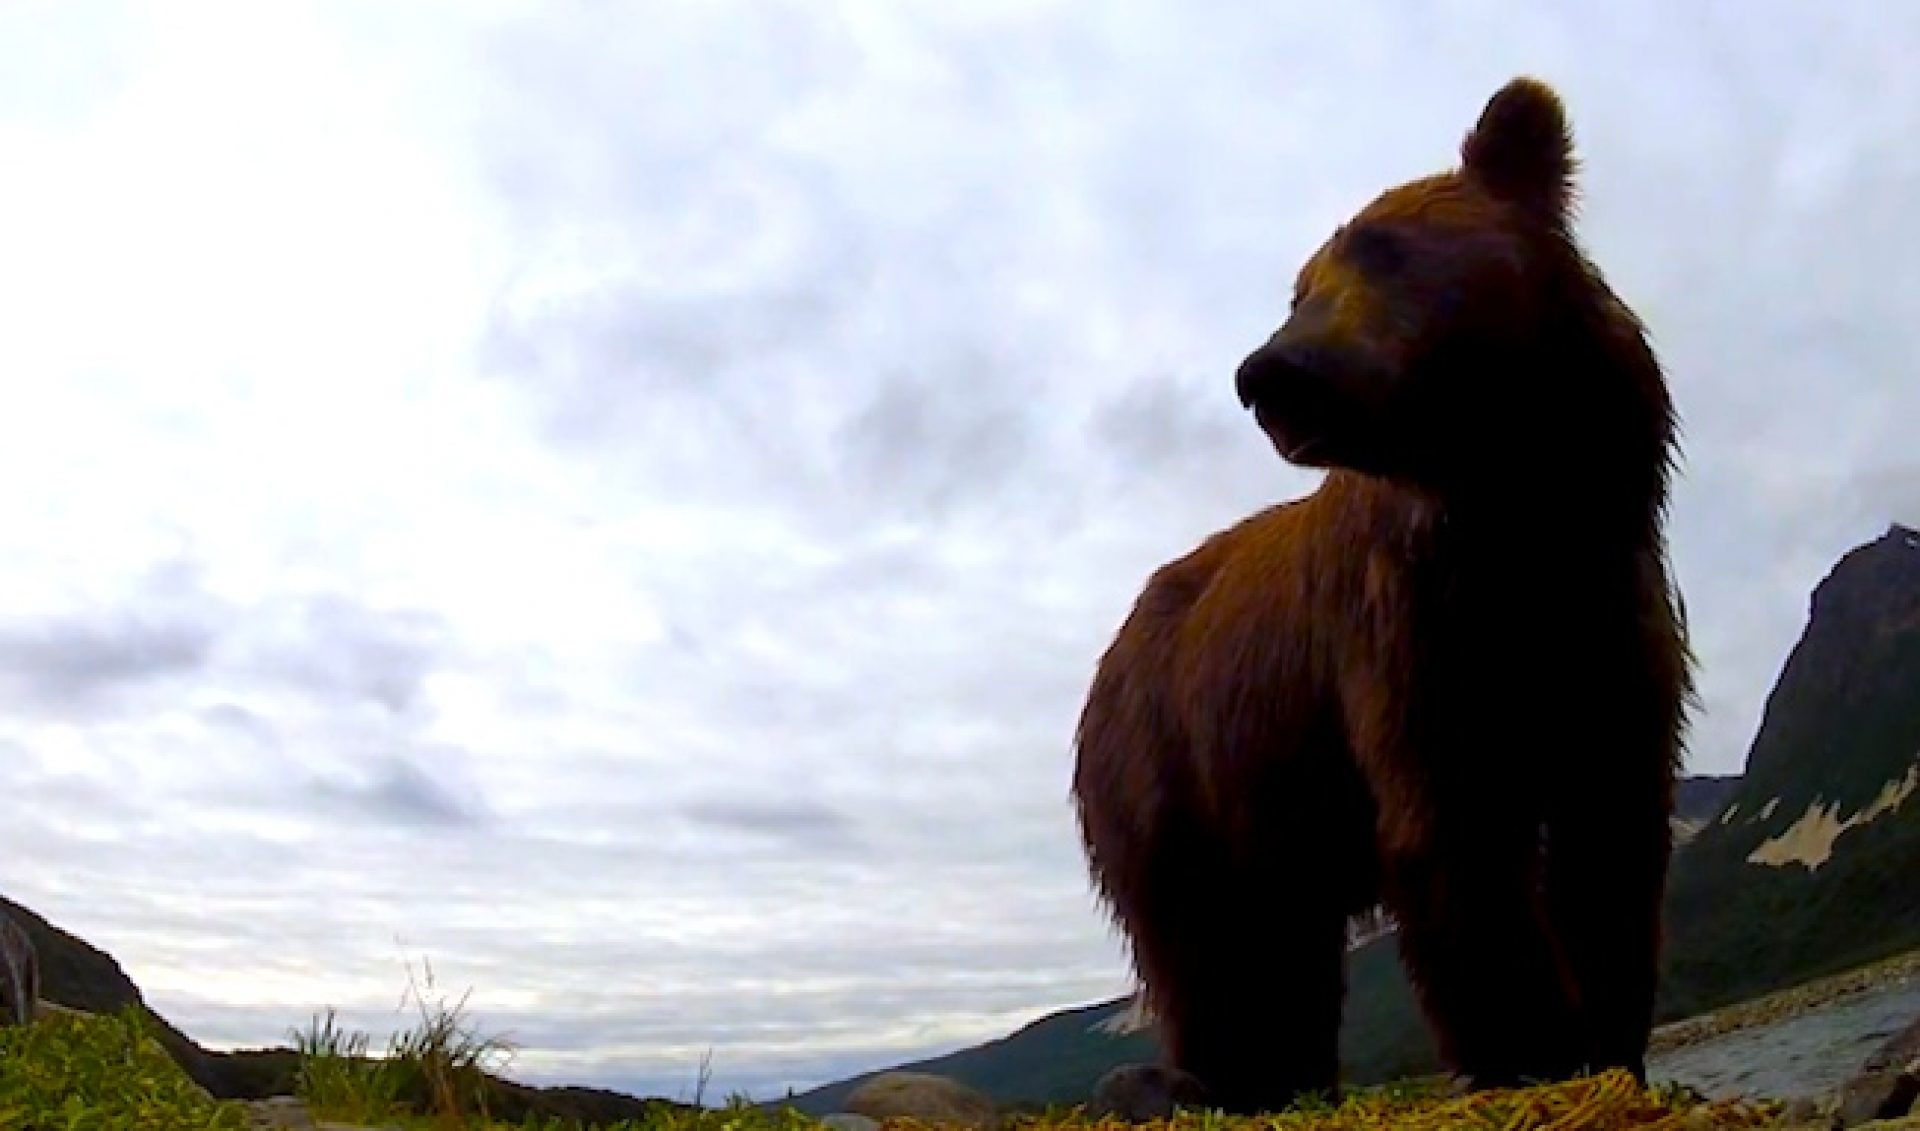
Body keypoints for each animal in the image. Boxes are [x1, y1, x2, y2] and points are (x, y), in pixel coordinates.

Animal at [1070, 76, 1692, 1115]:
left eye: (1385, 248)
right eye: (1301, 287)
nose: (1271, 373)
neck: (1519, 506)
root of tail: (1107, 650)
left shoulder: (1604, 616)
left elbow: (1609, 832)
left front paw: (1611, 1042)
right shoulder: (1410, 640)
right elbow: (1452, 836)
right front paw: (1533, 1048)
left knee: (1287, 941)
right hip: (1169, 767)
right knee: (1205, 944)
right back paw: (1212, 1075)